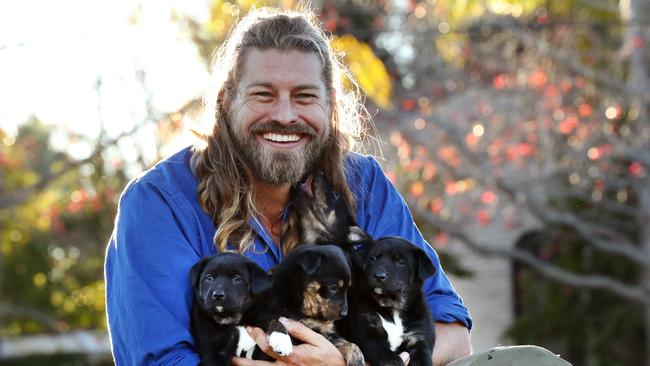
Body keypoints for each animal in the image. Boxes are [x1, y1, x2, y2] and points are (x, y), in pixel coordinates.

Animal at [340, 237, 436, 366]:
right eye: (373, 258)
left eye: (401, 262)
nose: (379, 276)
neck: (392, 307)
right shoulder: (368, 335)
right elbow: (390, 359)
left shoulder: (419, 340)